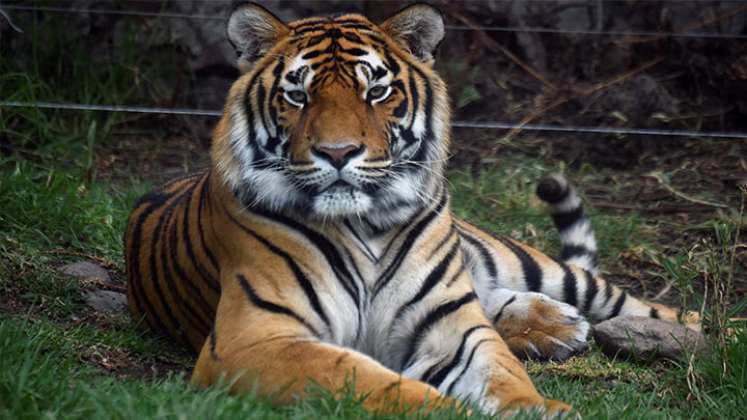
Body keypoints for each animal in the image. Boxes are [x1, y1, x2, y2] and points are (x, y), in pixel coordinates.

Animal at [124, 3, 700, 416]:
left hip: (529, 263)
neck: (365, 224)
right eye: (298, 96)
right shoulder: (255, 338)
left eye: (376, 92)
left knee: (640, 304)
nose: (337, 153)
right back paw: (556, 327)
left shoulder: (454, 325)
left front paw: (537, 407)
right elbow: (370, 380)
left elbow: (503, 372)